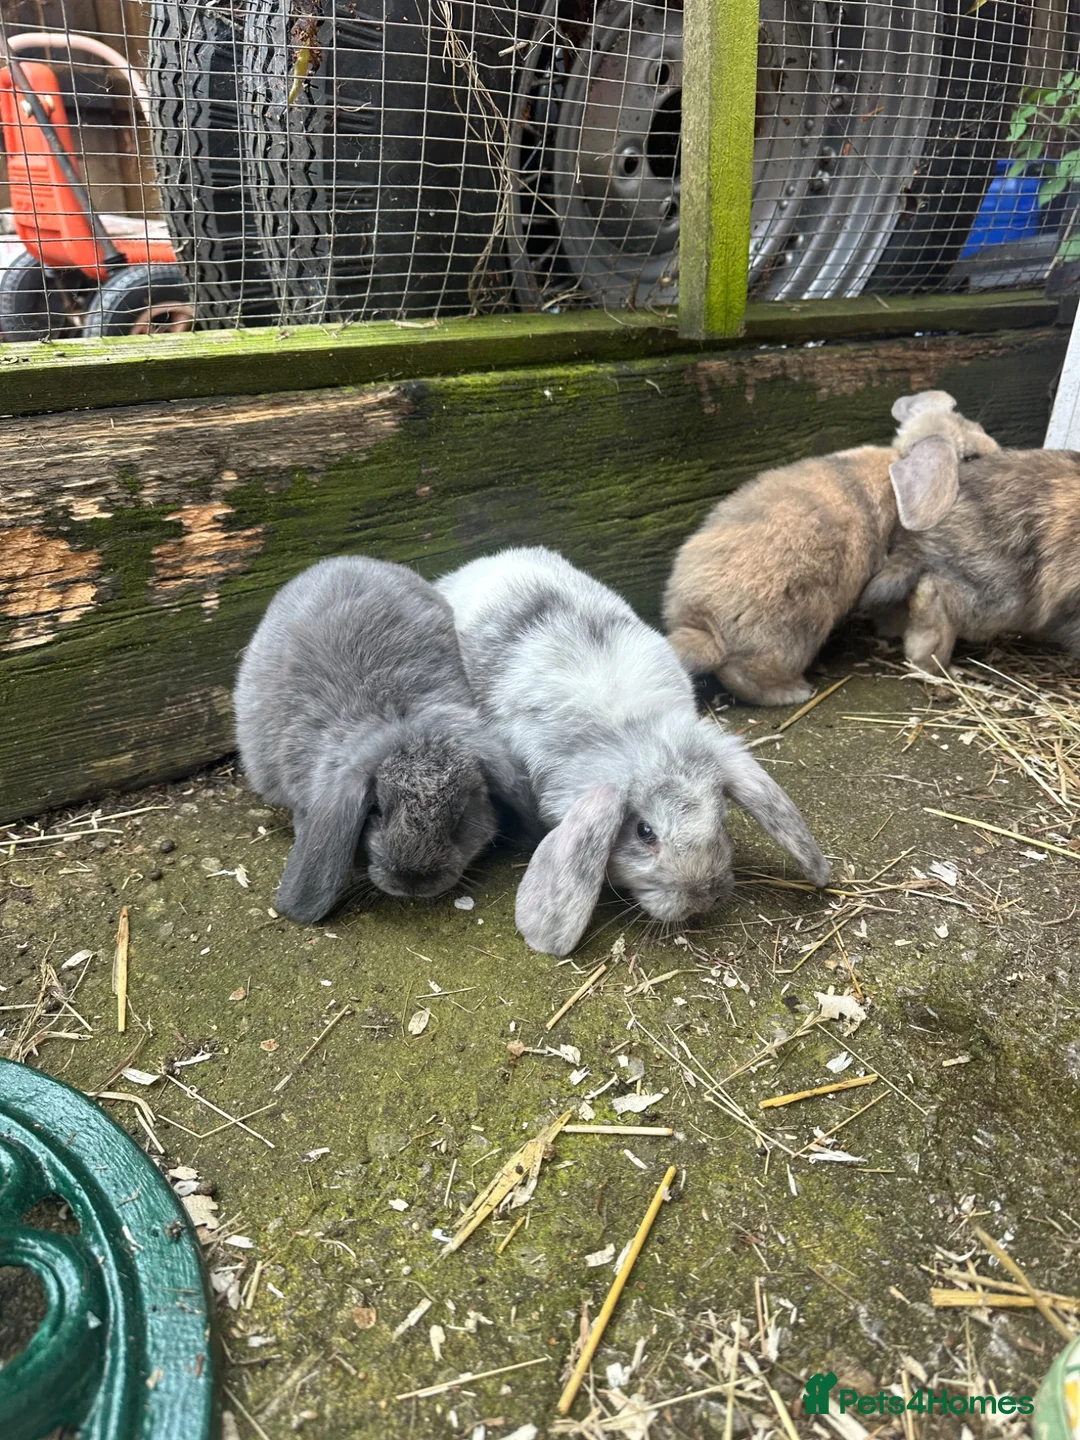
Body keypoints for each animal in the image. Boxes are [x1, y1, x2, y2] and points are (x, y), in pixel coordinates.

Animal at [661, 390, 1000, 706]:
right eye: (970, 457)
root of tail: (705, 626)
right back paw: (796, 692)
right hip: (791, 635)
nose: (1000, 454)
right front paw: (892, 630)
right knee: (747, 678)